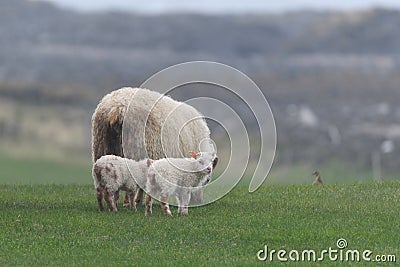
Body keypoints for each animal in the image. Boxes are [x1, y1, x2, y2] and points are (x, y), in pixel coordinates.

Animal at [91, 87, 219, 206]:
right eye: (207, 180)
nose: (198, 202)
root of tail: (117, 109)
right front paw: (138, 200)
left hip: (102, 148)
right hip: (136, 149)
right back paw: (128, 201)